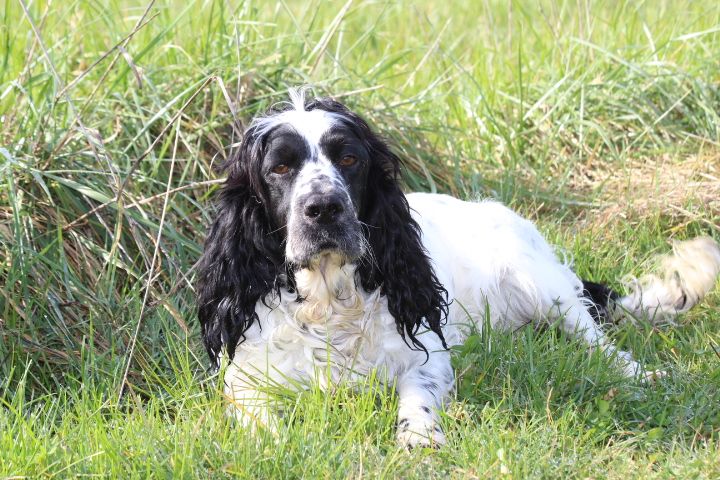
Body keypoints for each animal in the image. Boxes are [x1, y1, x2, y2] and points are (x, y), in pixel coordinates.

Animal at [195, 90, 720, 450]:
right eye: (280, 168)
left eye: (349, 158)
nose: (324, 208)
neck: (329, 302)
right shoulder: (245, 377)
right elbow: (257, 417)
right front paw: (273, 442)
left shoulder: (424, 353)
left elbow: (417, 396)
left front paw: (418, 437)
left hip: (541, 282)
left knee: (601, 343)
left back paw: (643, 373)